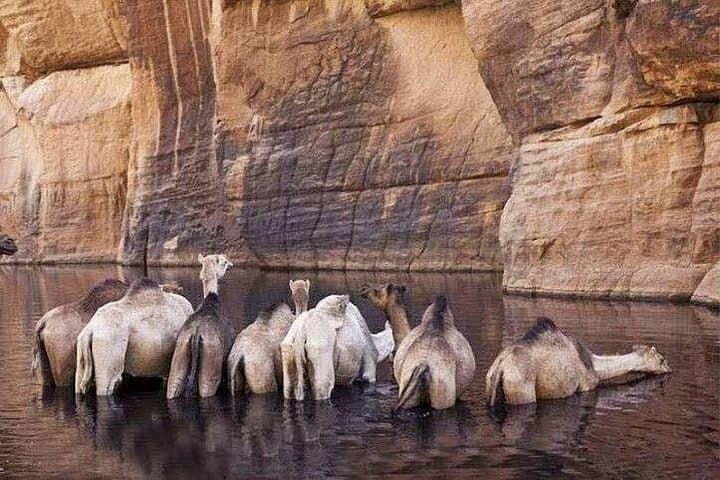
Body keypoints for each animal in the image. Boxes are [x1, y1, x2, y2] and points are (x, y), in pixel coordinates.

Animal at [166, 254, 235, 399]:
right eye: (224, 262)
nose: (231, 263)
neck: (210, 298)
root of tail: (196, 332)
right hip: (210, 369)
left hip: (178, 359)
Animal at [486, 317, 671, 406]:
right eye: (662, 360)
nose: (669, 369)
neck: (595, 367)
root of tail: (501, 366)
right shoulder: (586, 386)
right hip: (521, 388)